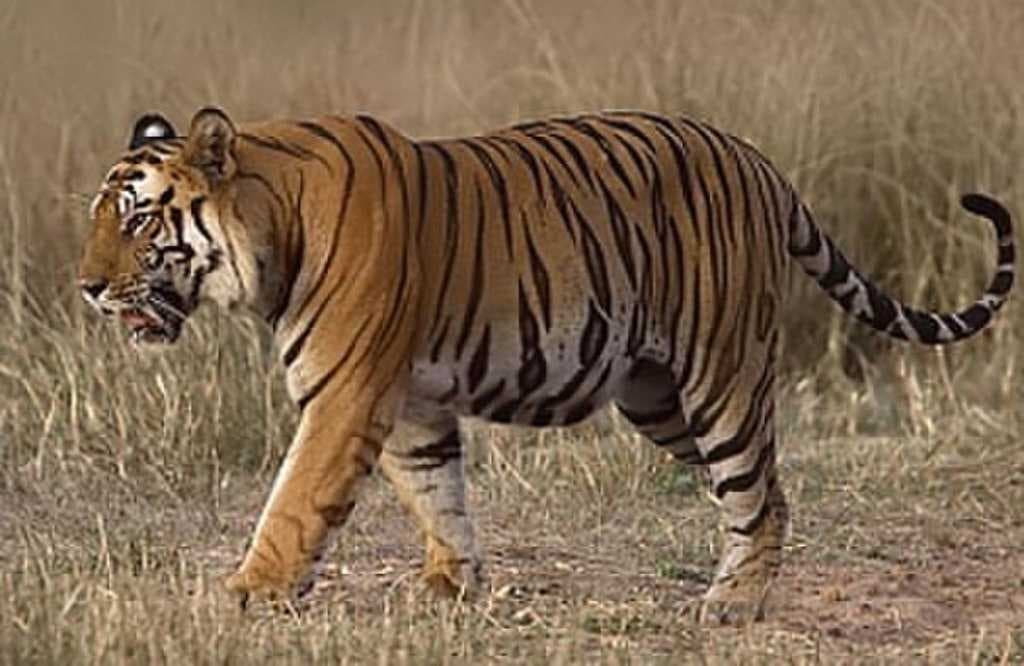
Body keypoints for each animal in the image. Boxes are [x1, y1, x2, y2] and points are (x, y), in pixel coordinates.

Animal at [77, 107, 1014, 624]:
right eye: (101, 217)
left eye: (137, 219)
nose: (86, 287)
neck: (272, 227)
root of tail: (760, 162)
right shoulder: (409, 401)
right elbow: (438, 494)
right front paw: (449, 587)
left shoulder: (345, 393)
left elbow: (295, 502)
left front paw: (249, 592)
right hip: (658, 398)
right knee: (764, 487)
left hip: (722, 375)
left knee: (757, 489)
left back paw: (734, 605)